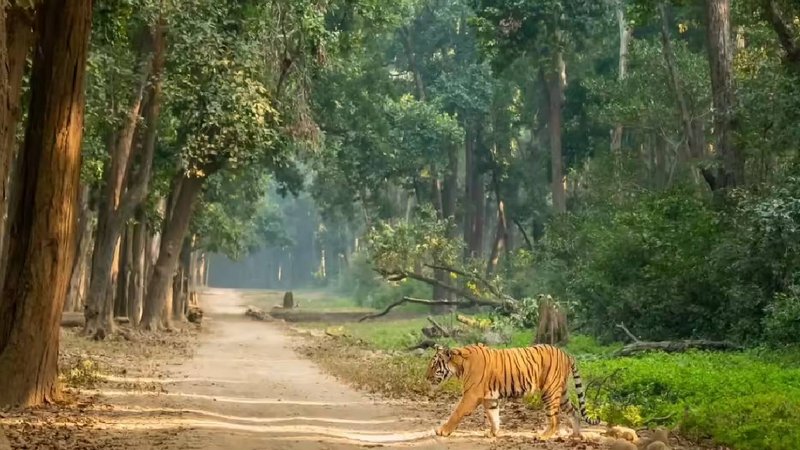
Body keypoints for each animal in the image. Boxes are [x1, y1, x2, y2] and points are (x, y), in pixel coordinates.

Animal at [426, 343, 600, 440]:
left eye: (434, 366)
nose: (426, 377)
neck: (459, 365)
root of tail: (566, 354)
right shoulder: (489, 398)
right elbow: (493, 416)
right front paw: (493, 433)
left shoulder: (471, 395)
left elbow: (456, 413)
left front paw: (442, 431)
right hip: (562, 392)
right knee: (573, 410)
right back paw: (576, 435)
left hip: (550, 391)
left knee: (554, 419)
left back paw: (543, 436)